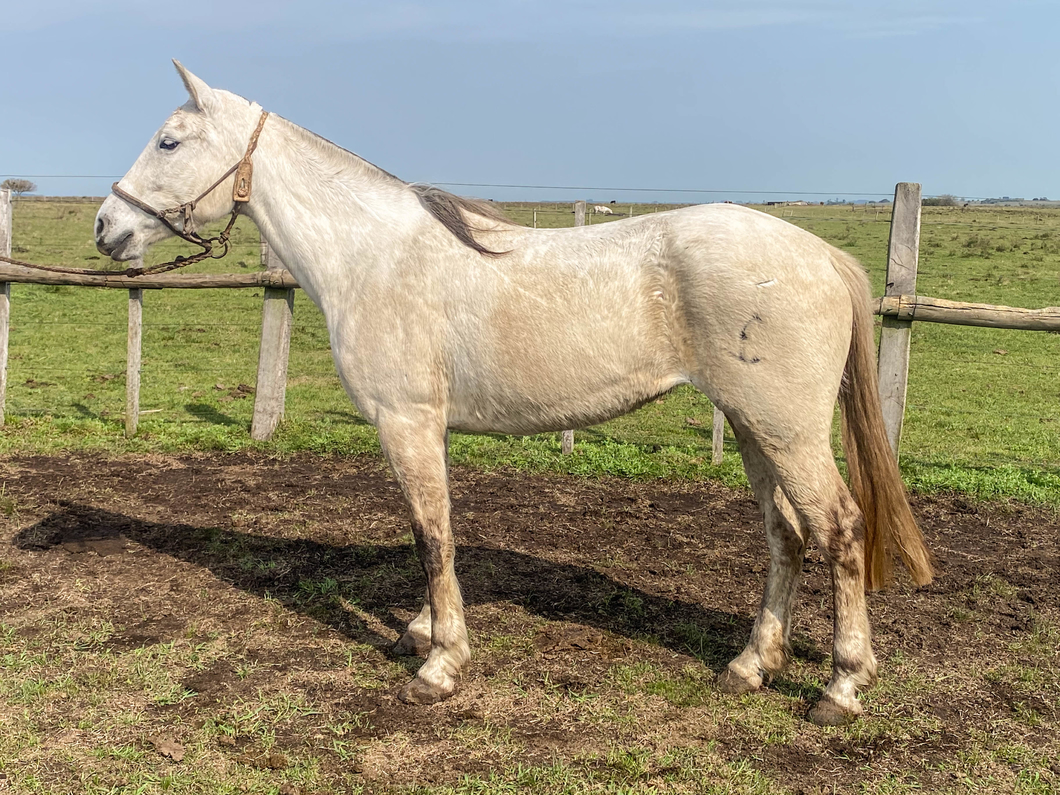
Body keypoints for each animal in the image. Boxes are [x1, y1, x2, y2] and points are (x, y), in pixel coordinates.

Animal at [95, 62, 932, 729]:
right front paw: (421, 629)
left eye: (169, 142)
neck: (373, 256)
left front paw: (440, 663)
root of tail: (819, 255)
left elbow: (432, 535)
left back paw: (840, 687)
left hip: (785, 430)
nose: (106, 227)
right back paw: (751, 665)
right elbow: (430, 531)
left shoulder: (407, 422)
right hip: (757, 429)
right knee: (787, 534)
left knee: (840, 528)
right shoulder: (419, 428)